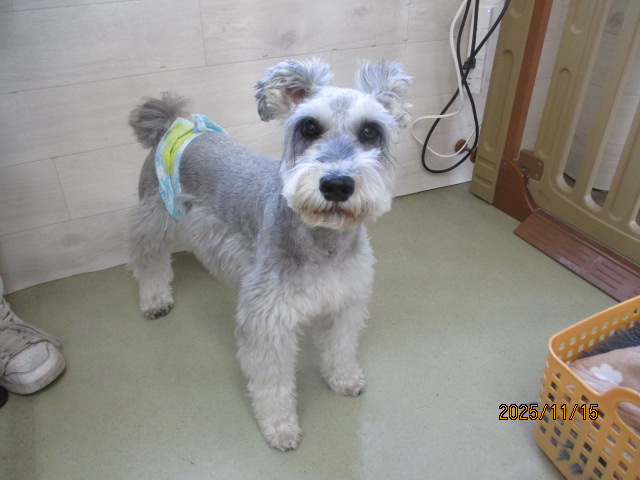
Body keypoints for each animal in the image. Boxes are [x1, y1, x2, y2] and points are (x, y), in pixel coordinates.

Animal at [127, 59, 411, 450]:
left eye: (370, 131)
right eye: (309, 126)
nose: (336, 184)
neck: (321, 239)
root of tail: (173, 125)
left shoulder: (345, 302)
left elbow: (339, 348)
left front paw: (343, 378)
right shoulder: (268, 323)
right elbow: (273, 383)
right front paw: (280, 427)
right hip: (155, 218)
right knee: (148, 258)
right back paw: (154, 299)